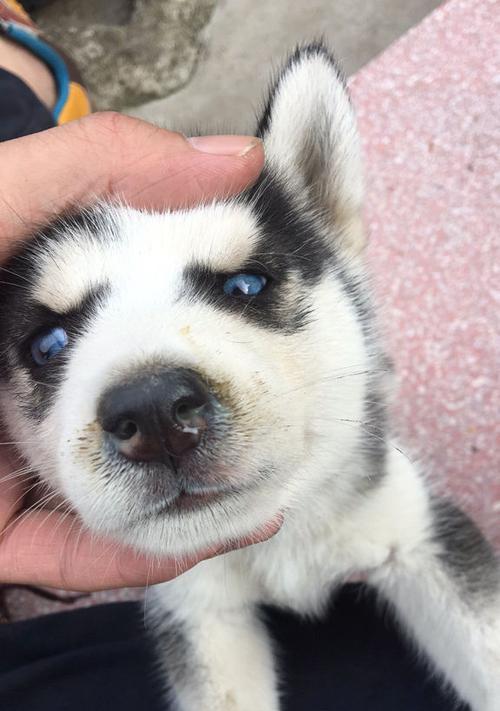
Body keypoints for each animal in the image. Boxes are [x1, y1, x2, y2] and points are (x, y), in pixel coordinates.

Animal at [0, 44, 500, 711]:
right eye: (47, 345)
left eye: (245, 285)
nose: (154, 413)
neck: (275, 544)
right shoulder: (198, 614)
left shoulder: (418, 531)